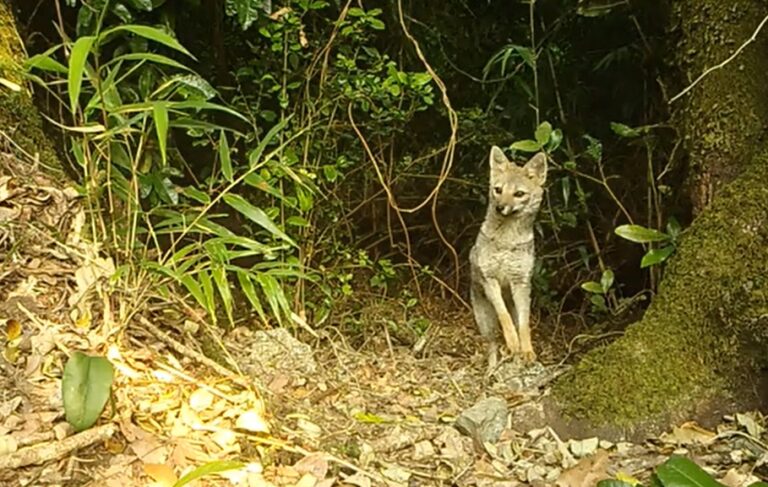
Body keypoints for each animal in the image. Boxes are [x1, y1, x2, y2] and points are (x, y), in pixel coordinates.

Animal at [470, 146, 547, 371]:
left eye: (518, 194)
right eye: (498, 190)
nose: (500, 207)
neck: (506, 241)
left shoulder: (520, 283)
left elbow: (523, 324)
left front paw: (527, 350)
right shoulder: (490, 280)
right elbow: (504, 317)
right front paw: (512, 342)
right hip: (485, 322)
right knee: (493, 345)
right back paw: (492, 369)